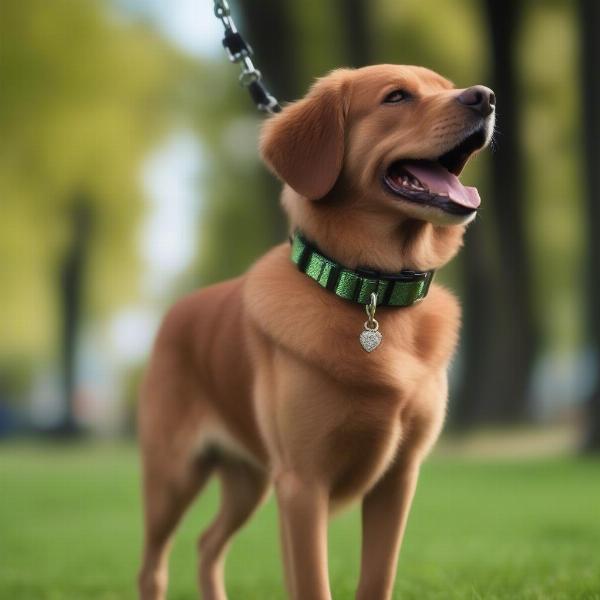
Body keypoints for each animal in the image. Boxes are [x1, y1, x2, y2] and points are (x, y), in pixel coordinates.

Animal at [138, 63, 494, 596]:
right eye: (396, 97)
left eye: (446, 86)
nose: (485, 97)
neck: (369, 292)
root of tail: (176, 312)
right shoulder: (303, 484)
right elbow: (311, 582)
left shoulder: (397, 479)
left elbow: (375, 579)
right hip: (173, 477)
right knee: (154, 565)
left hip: (250, 482)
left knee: (207, 544)